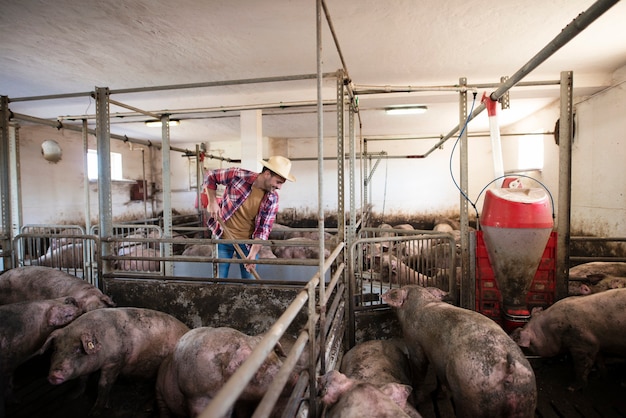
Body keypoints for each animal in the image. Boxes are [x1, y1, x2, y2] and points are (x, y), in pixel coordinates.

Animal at [36, 306, 188, 414]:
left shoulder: (115, 361)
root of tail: (188, 328)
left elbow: (104, 384)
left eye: (77, 350)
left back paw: (146, 408)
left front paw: (94, 412)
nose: (54, 375)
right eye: (55, 349)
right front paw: (70, 397)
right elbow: (82, 380)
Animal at [380, 284, 536, 418]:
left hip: (472, 396)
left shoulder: (414, 344)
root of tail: (508, 367)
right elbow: (440, 378)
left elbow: (419, 368)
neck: (423, 302)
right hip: (525, 398)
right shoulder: (439, 360)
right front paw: (437, 395)